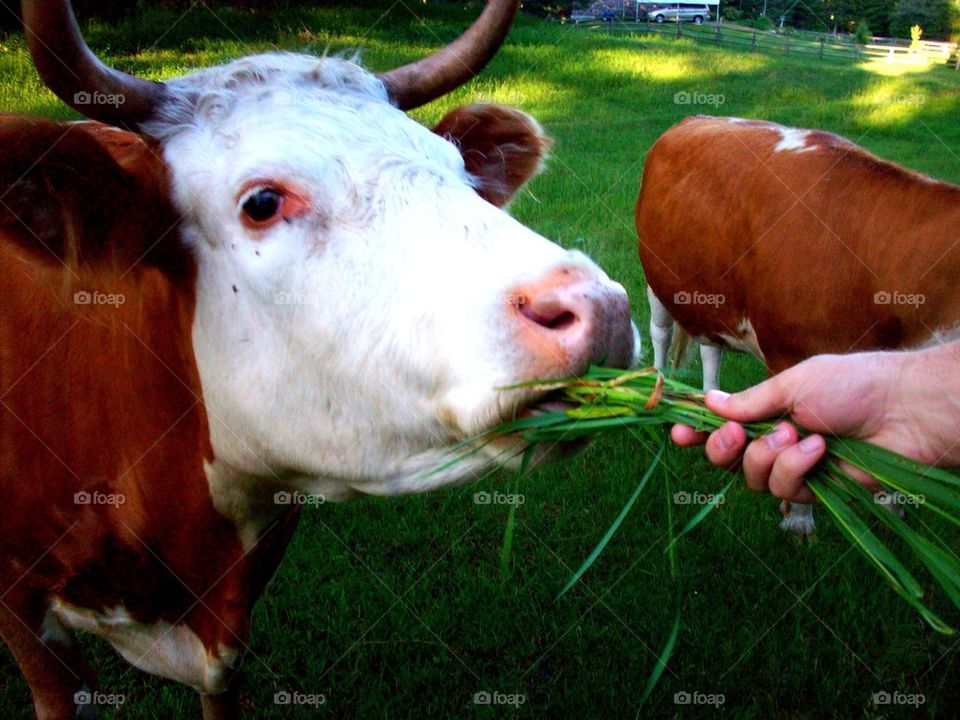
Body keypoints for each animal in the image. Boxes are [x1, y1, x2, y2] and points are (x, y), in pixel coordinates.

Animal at [636, 114, 960, 536]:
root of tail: (695, 118)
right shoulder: (788, 354)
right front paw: (799, 519)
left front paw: (892, 501)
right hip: (656, 278)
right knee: (659, 334)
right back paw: (656, 391)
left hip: (709, 292)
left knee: (711, 349)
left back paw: (709, 407)